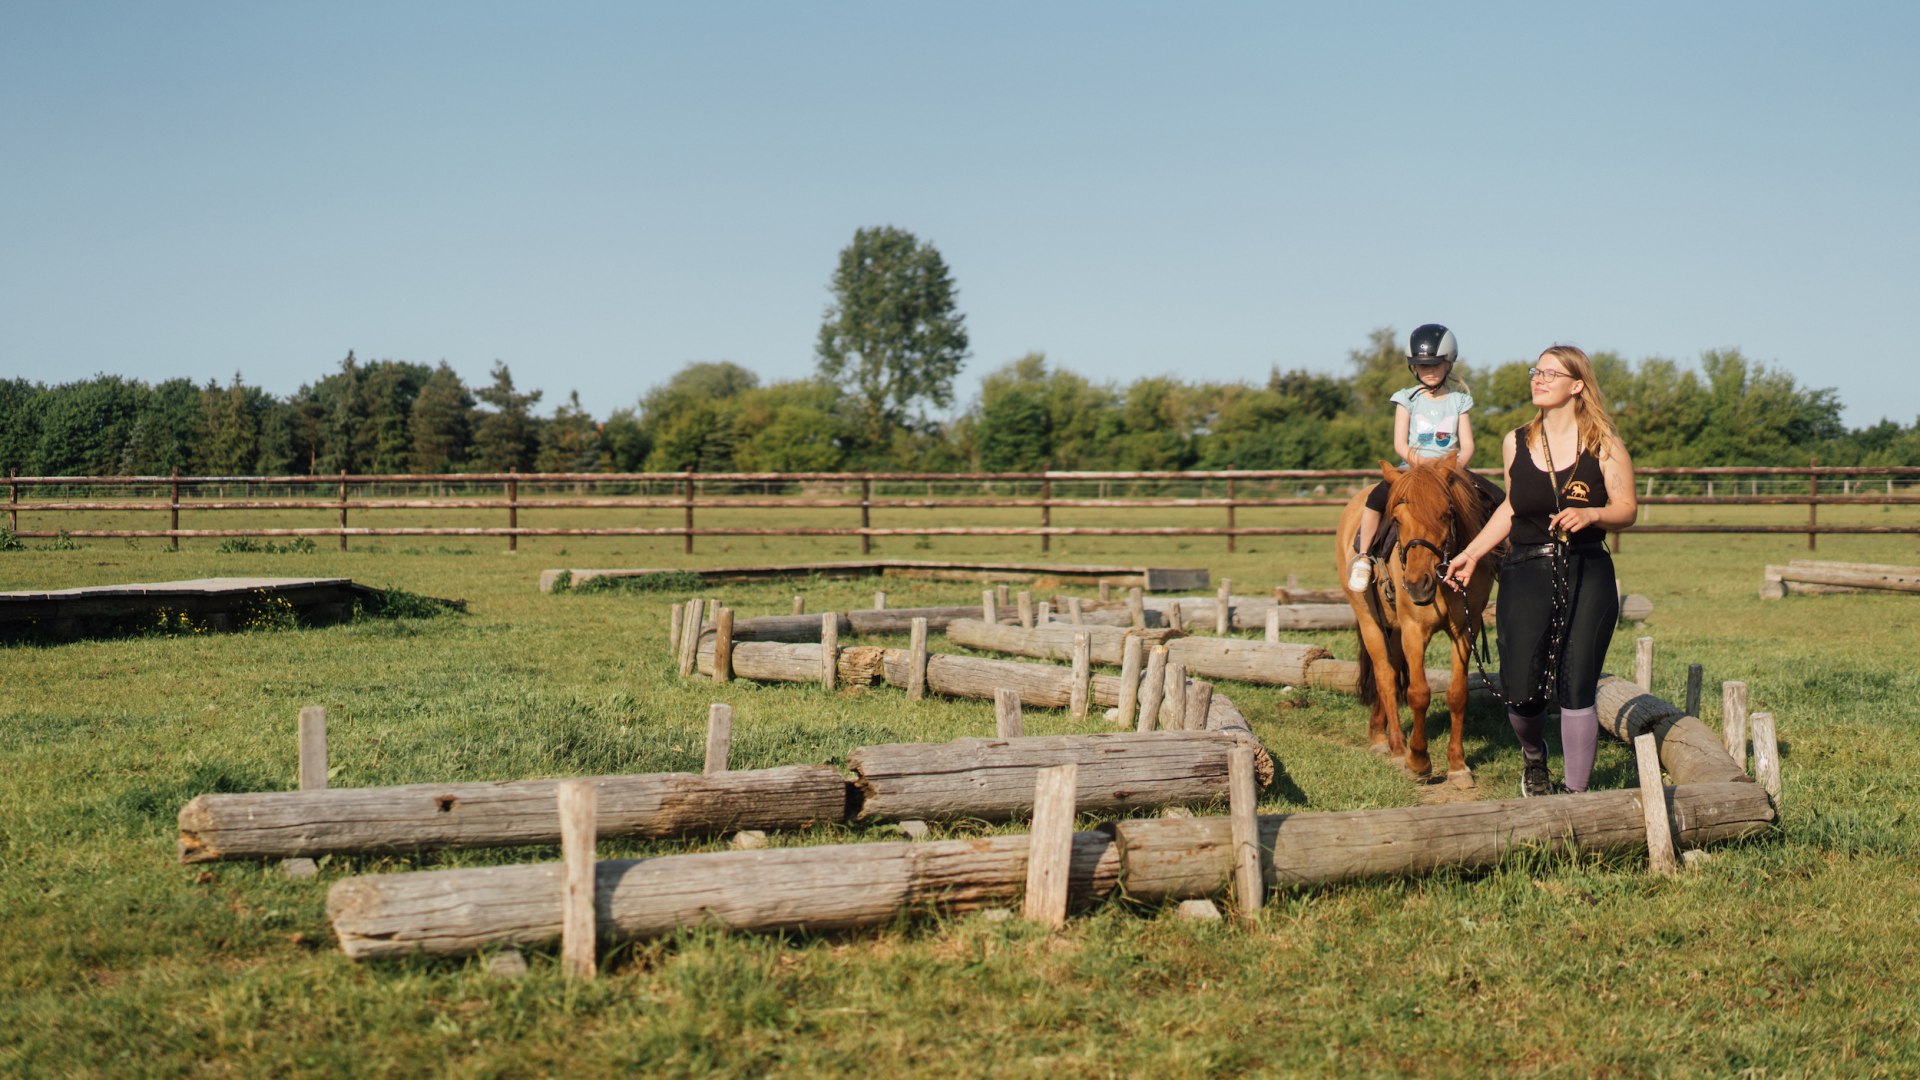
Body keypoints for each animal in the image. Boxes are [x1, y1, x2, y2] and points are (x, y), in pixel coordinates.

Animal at [1335, 453, 1496, 787]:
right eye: (1396, 520)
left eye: (1446, 514)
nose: (1417, 585)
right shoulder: (1414, 629)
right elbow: (1418, 693)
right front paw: (1419, 761)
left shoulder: (1465, 629)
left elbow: (1457, 694)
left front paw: (1457, 765)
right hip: (1369, 620)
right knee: (1385, 675)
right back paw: (1395, 747)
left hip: (1395, 630)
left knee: (1392, 669)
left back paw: (1378, 731)